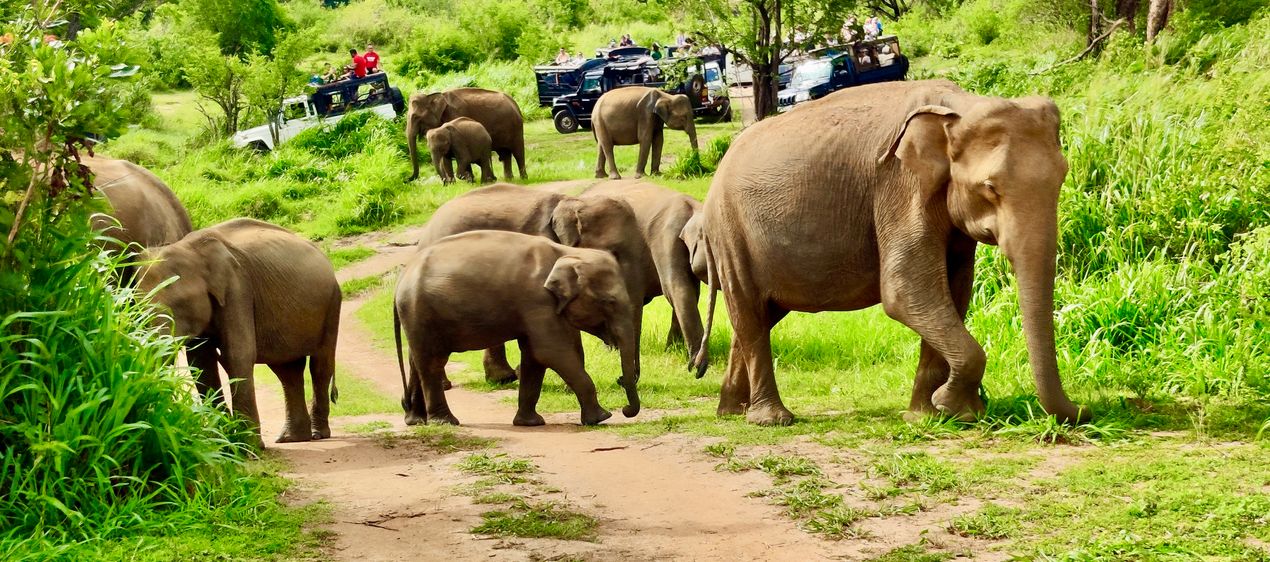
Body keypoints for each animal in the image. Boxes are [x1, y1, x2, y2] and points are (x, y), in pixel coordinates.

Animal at [137, 219, 342, 444]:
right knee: (287, 370)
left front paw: (247, 446)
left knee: (320, 366)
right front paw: (223, 441)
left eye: (178, 304)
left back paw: (316, 434)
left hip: (332, 304)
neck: (190, 249)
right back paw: (291, 438)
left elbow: (237, 354)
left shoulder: (238, 288)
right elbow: (201, 364)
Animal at [391, 228, 640, 426]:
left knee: (416, 361)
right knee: (432, 361)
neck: (566, 252)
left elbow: (534, 357)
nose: (626, 410)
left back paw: (415, 420)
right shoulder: (537, 301)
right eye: (609, 302)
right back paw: (445, 422)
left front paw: (531, 423)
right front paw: (601, 418)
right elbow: (550, 353)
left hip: (417, 316)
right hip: (420, 312)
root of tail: (402, 277)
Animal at [701, 79, 1087, 426]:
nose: (1084, 410)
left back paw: (731, 411)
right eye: (990, 188)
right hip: (730, 231)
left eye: (1062, 176)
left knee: (756, 317)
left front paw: (931, 416)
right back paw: (771, 420)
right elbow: (907, 290)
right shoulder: (900, 184)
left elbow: (955, 291)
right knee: (749, 311)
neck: (959, 106)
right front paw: (949, 405)